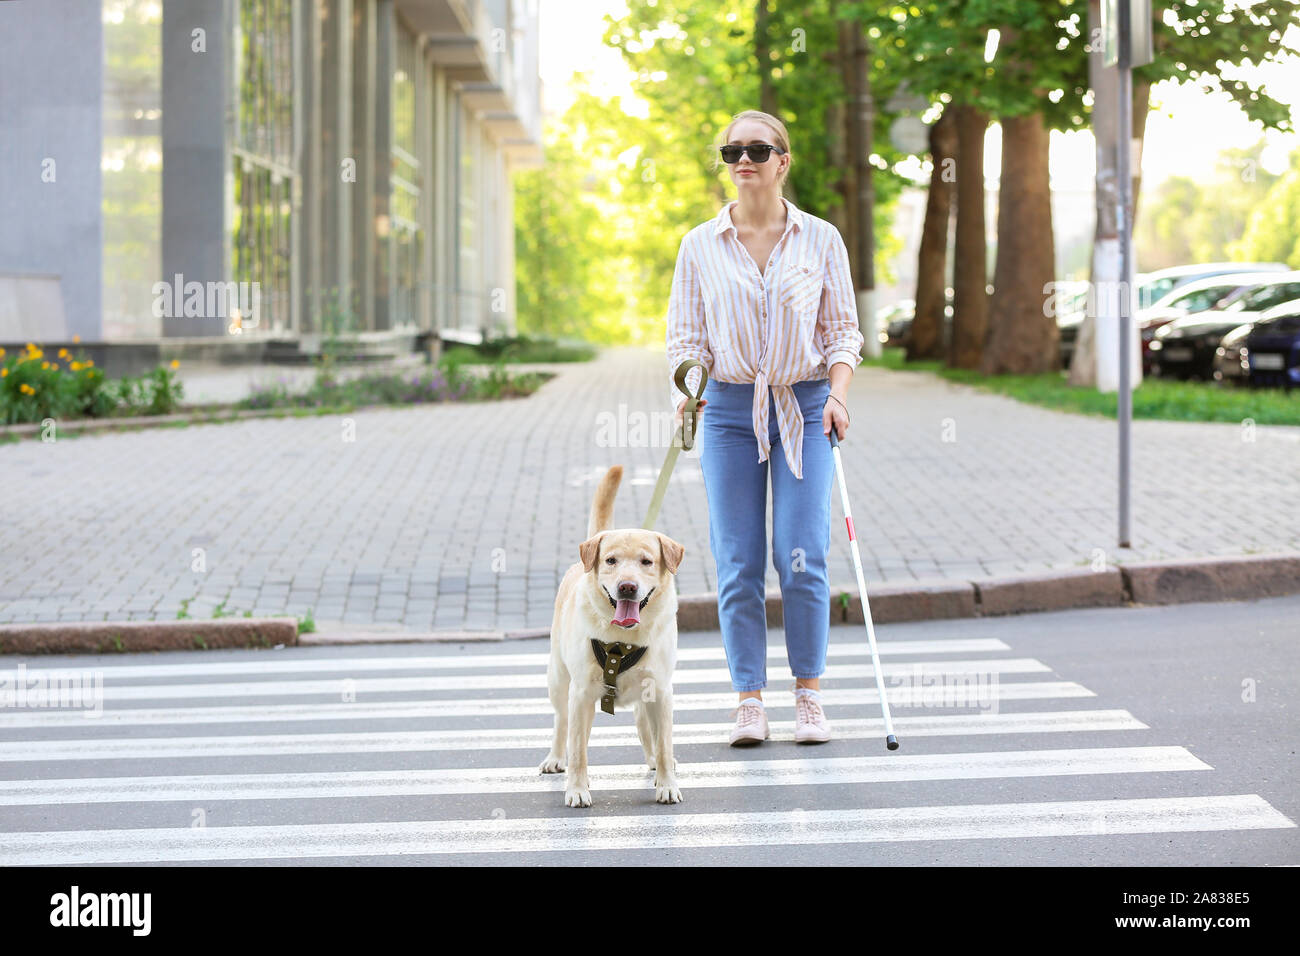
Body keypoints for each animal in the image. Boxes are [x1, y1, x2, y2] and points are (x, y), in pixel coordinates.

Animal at [538, 465, 686, 806]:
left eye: (647, 561)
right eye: (610, 561)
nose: (627, 587)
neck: (623, 639)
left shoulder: (661, 690)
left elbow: (664, 742)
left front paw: (666, 784)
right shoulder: (580, 694)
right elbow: (579, 750)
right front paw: (577, 789)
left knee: (646, 728)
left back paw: (655, 763)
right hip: (558, 679)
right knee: (561, 723)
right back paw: (556, 758)